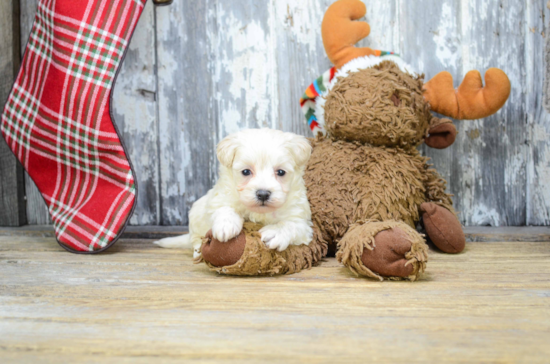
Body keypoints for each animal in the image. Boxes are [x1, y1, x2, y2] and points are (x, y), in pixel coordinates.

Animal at [155, 128, 314, 258]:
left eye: (280, 172)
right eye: (246, 172)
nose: (263, 194)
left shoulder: (302, 221)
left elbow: (291, 225)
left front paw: (275, 232)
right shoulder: (220, 198)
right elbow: (224, 208)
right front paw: (227, 225)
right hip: (195, 216)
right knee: (195, 239)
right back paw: (197, 251)